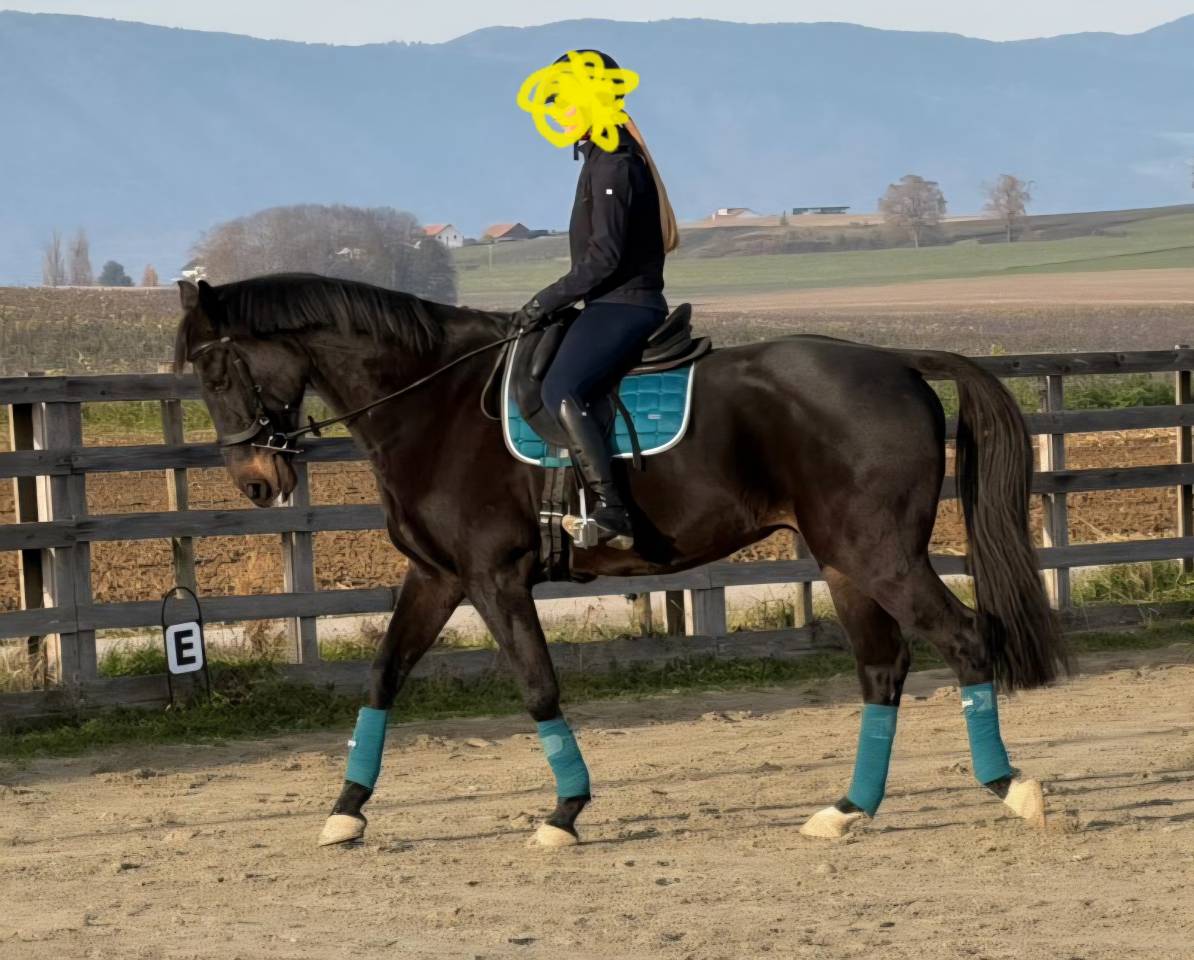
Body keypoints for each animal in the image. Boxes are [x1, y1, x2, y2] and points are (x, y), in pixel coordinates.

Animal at [174, 272, 1067, 847]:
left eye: (215, 365)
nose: (256, 482)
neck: (435, 400)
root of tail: (897, 361)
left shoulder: (494, 579)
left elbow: (537, 687)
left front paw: (564, 813)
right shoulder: (437, 577)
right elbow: (384, 675)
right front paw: (346, 809)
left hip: (879, 555)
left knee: (965, 641)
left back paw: (1012, 789)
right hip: (845, 562)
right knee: (884, 669)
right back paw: (848, 810)